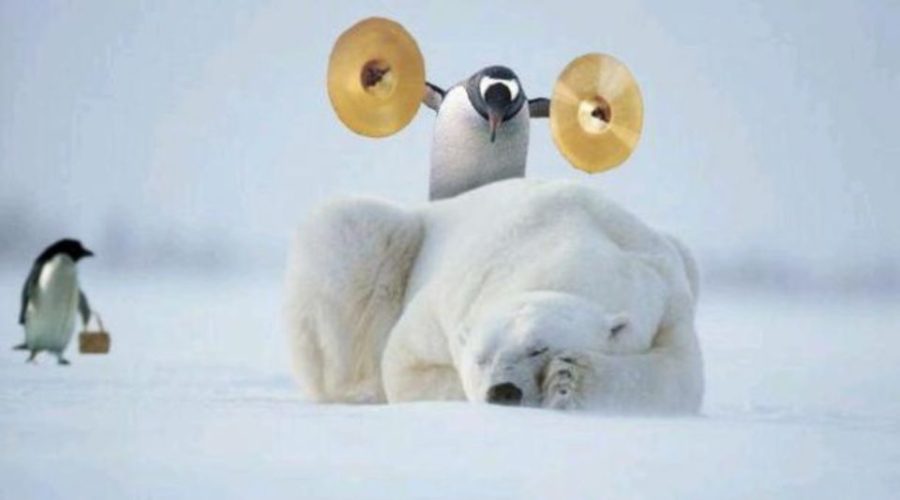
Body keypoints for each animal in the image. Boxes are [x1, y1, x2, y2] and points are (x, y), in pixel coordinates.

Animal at [284, 178, 708, 412]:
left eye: (539, 348)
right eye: (481, 358)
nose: (503, 391)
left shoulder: (665, 292)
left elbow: (676, 375)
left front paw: (568, 379)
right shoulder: (447, 300)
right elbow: (406, 365)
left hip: (685, 255)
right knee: (347, 226)